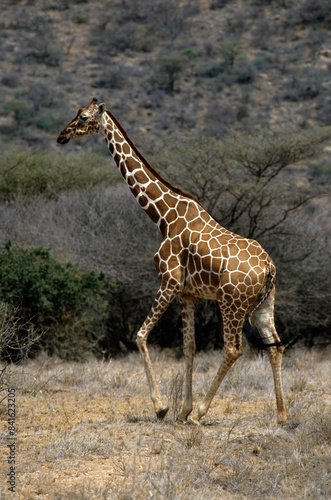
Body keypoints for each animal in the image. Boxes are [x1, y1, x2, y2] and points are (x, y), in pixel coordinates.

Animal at [57, 98, 288, 426]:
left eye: (84, 118)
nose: (61, 136)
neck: (163, 216)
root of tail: (269, 267)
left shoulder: (169, 282)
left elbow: (140, 335)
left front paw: (163, 407)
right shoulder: (188, 293)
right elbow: (188, 348)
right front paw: (183, 409)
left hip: (231, 302)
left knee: (233, 349)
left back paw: (202, 413)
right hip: (264, 304)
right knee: (276, 346)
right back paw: (280, 415)